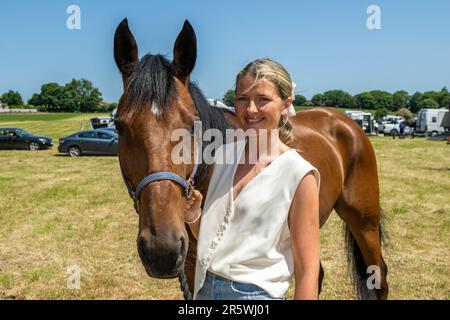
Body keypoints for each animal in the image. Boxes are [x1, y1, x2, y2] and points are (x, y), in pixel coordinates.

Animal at [111, 18, 386, 300]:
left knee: (378, 275)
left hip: (364, 221)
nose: (161, 249)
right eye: (119, 126)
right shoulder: (190, 263)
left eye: (191, 124)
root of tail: (345, 122)